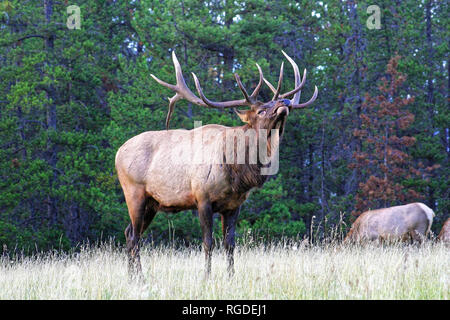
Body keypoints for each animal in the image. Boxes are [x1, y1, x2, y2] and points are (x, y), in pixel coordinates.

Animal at [114, 50, 318, 278]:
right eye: (260, 111)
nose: (285, 101)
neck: (238, 173)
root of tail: (118, 152)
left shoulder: (234, 205)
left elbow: (230, 244)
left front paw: (231, 276)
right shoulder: (202, 198)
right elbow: (208, 243)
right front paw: (207, 276)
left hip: (152, 203)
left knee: (129, 232)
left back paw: (132, 276)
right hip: (134, 193)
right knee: (134, 236)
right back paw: (139, 277)